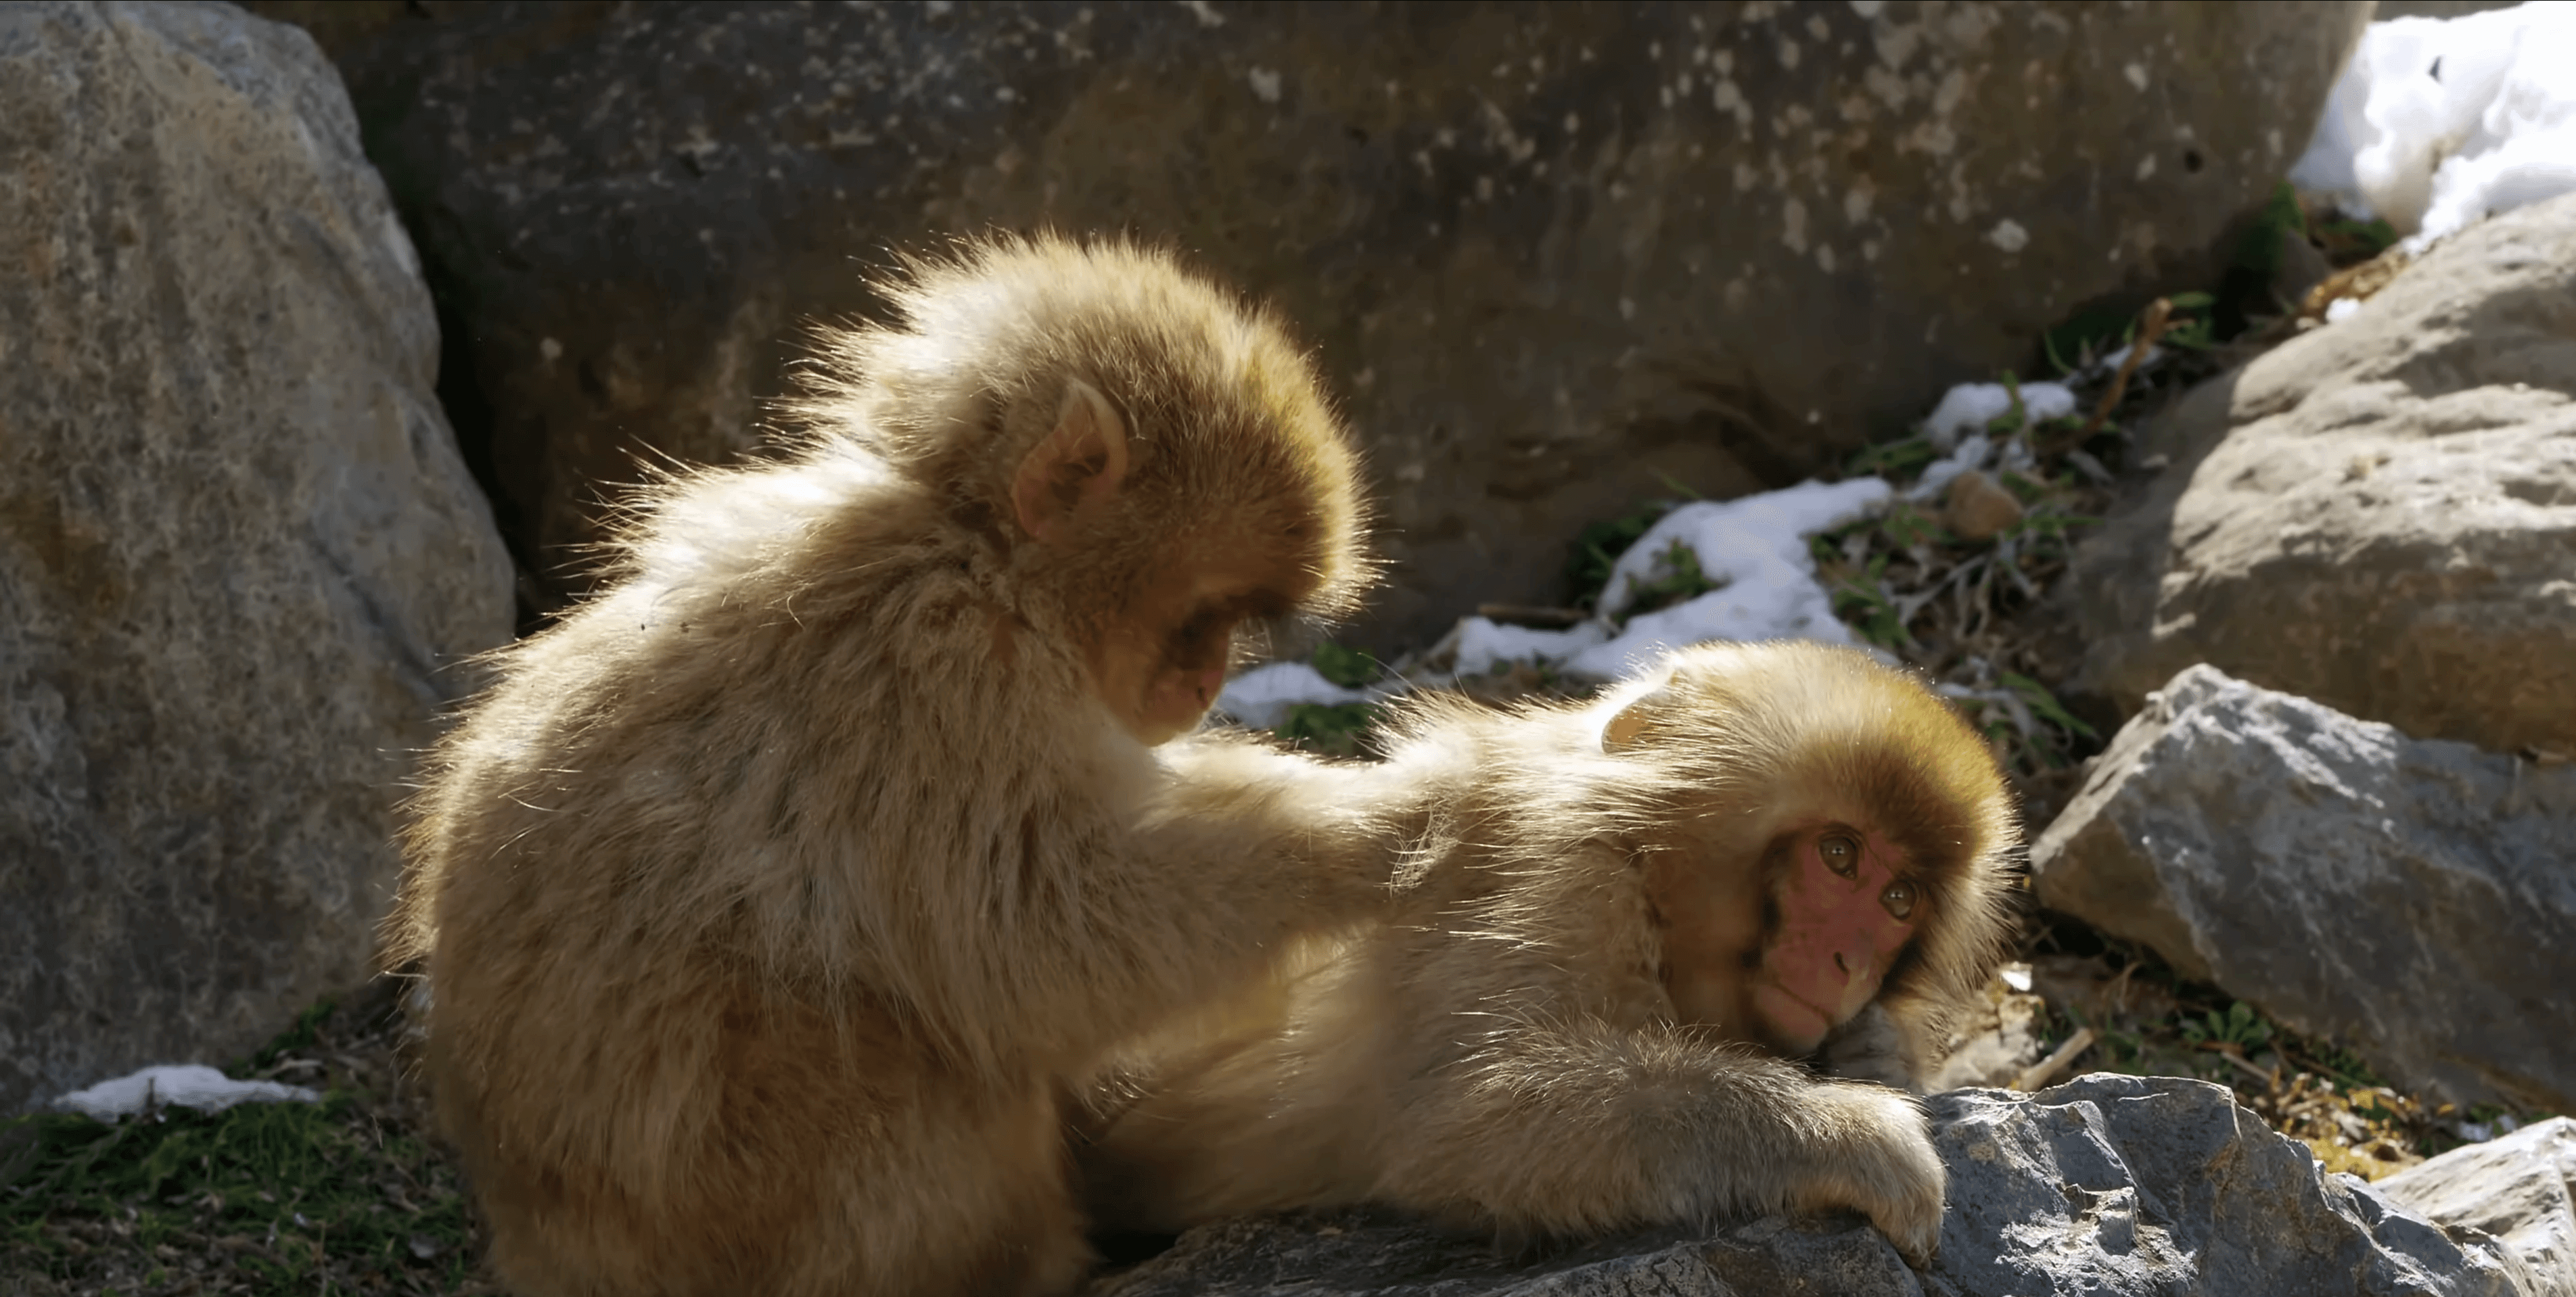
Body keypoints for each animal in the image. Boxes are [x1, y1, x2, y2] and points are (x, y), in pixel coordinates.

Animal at [384, 235, 1391, 1297]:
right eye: (1203, 613)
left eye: (1230, 623)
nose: (1205, 679)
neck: (972, 555)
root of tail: (547, 1250)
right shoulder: (941, 678)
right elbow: (1035, 935)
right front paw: (1365, 839)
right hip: (762, 1204)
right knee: (900, 1034)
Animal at [1077, 639, 2020, 1268]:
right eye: (1839, 855)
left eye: (1898, 901)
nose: (1847, 960)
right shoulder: (1551, 866)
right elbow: (1473, 1112)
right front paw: (1852, 1134)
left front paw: (1873, 1056)